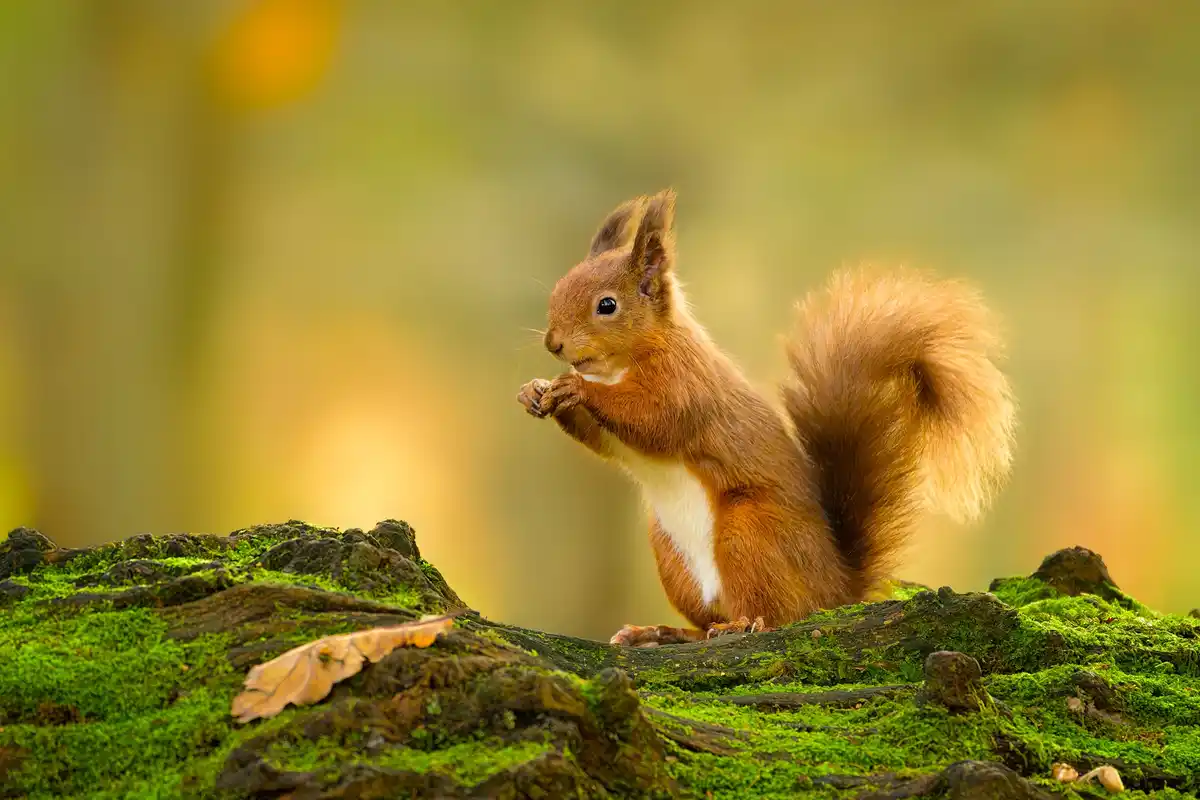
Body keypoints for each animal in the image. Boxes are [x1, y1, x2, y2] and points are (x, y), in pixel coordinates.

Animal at [517, 189, 1016, 648]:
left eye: (607, 305)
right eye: (559, 288)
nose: (553, 343)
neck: (621, 364)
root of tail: (835, 590)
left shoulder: (684, 386)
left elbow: (653, 419)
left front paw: (575, 389)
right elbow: (602, 440)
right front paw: (535, 392)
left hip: (749, 532)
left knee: (773, 614)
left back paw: (740, 623)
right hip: (672, 554)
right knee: (705, 625)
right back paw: (661, 632)